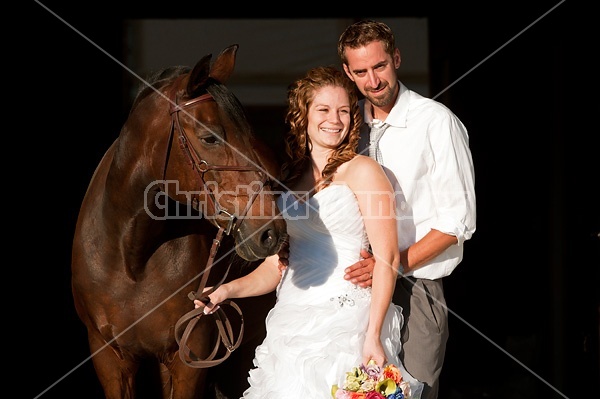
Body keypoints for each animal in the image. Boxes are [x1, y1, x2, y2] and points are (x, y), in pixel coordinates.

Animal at [70, 44, 286, 399]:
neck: (131, 256)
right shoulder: (110, 360)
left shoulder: (189, 359)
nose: (272, 233)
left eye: (248, 134)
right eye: (210, 138)